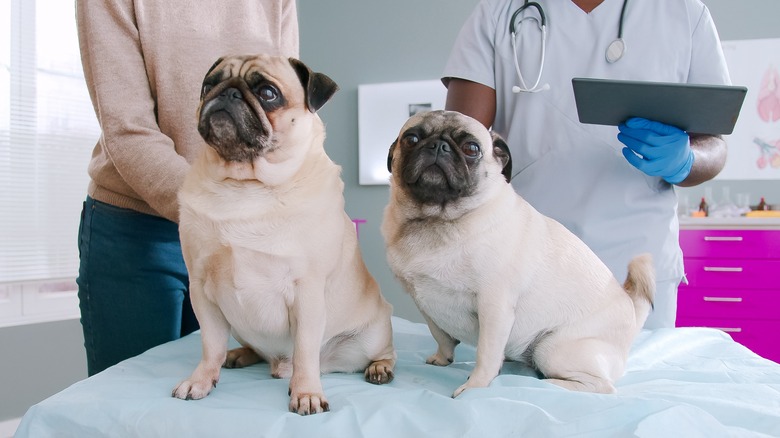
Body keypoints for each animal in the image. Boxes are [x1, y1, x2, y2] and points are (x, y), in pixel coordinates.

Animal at [175, 54, 396, 414]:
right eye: (209, 85)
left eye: (268, 93)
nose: (228, 92)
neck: (246, 184)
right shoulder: (201, 289)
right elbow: (210, 345)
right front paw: (201, 379)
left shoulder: (307, 292)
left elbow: (305, 351)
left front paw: (306, 392)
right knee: (244, 349)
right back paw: (239, 355)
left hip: (373, 335)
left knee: (379, 352)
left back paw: (379, 368)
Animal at [380, 109, 656, 396]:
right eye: (411, 139)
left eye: (471, 149)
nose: (438, 146)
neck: (436, 219)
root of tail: (630, 312)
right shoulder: (423, 301)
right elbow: (440, 334)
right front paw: (442, 358)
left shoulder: (494, 306)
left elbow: (486, 355)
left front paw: (475, 386)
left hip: (553, 348)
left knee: (602, 386)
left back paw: (549, 383)